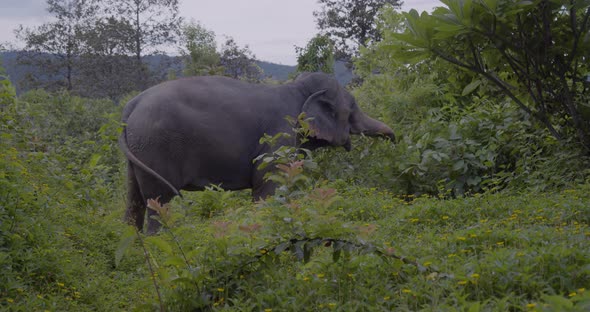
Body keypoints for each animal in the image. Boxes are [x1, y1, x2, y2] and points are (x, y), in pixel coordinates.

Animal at [119, 72, 398, 233]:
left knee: (134, 200)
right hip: (155, 147)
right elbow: (268, 186)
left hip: (139, 151)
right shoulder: (279, 136)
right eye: (352, 110)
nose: (395, 140)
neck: (297, 89)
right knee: (158, 203)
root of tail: (132, 106)